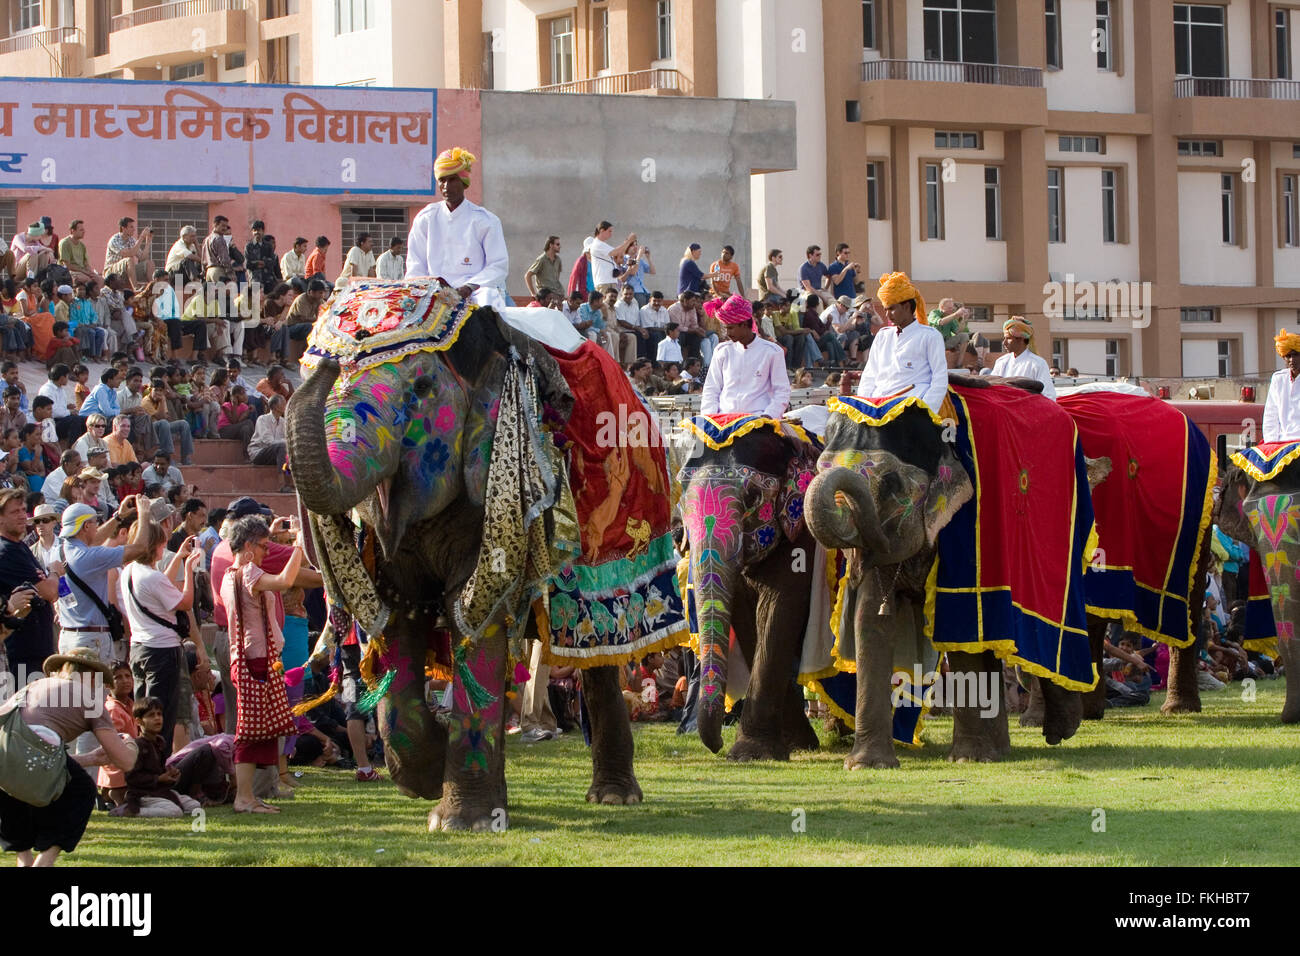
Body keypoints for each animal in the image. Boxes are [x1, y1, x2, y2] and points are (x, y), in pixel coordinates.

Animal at [288, 278, 686, 832]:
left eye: (421, 391)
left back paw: (613, 797)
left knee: (601, 649)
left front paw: (460, 821)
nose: (330, 361)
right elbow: (400, 612)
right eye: (310, 373)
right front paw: (430, 775)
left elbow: (475, 609)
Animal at [676, 421, 816, 764]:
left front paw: (751, 753)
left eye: (753, 495)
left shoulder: (803, 533)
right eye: (681, 495)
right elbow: (747, 620)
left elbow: (778, 610)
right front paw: (794, 746)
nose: (716, 746)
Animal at [800, 377, 1097, 764]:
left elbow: (961, 631)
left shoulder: (966, 531)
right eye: (819, 471)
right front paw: (866, 765)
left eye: (891, 484)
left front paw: (967, 759)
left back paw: (1058, 729)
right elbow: (871, 621)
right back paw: (1003, 749)